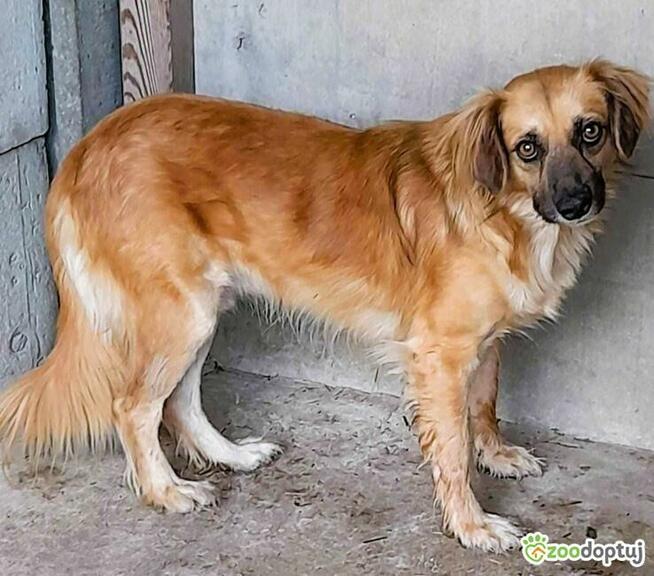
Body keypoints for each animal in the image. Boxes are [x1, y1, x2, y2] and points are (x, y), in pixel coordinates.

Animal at [0, 60, 649, 552]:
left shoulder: (485, 343)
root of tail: (89, 143)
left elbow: (485, 407)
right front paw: (472, 525)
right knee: (133, 406)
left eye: (590, 131)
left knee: (179, 401)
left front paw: (498, 455)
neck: (506, 215)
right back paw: (167, 492)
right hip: (180, 314)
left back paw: (231, 456)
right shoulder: (440, 355)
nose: (576, 202)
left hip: (202, 310)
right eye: (527, 148)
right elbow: (454, 448)